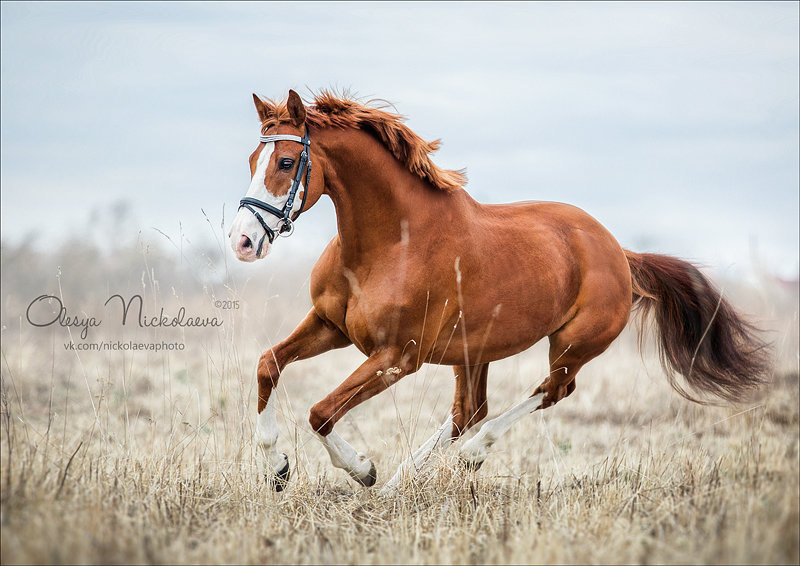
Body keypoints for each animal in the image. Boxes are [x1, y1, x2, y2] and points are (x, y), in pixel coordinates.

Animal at [228, 89, 772, 492]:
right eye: (252, 158)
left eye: (286, 161)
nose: (242, 241)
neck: (391, 243)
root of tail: (620, 253)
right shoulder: (330, 327)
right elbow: (267, 364)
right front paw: (277, 468)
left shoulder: (398, 356)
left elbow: (321, 412)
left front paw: (363, 468)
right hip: (473, 353)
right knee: (469, 411)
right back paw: (402, 484)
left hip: (571, 344)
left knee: (548, 392)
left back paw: (467, 456)